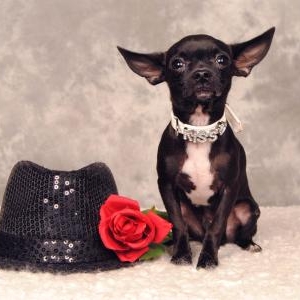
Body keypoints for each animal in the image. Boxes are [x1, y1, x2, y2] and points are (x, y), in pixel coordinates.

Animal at [117, 27, 274, 268]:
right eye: (177, 64)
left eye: (222, 60)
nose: (202, 73)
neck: (199, 131)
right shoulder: (167, 185)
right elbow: (178, 224)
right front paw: (181, 256)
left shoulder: (229, 188)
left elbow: (216, 226)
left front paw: (208, 259)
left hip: (247, 208)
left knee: (236, 234)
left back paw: (249, 245)